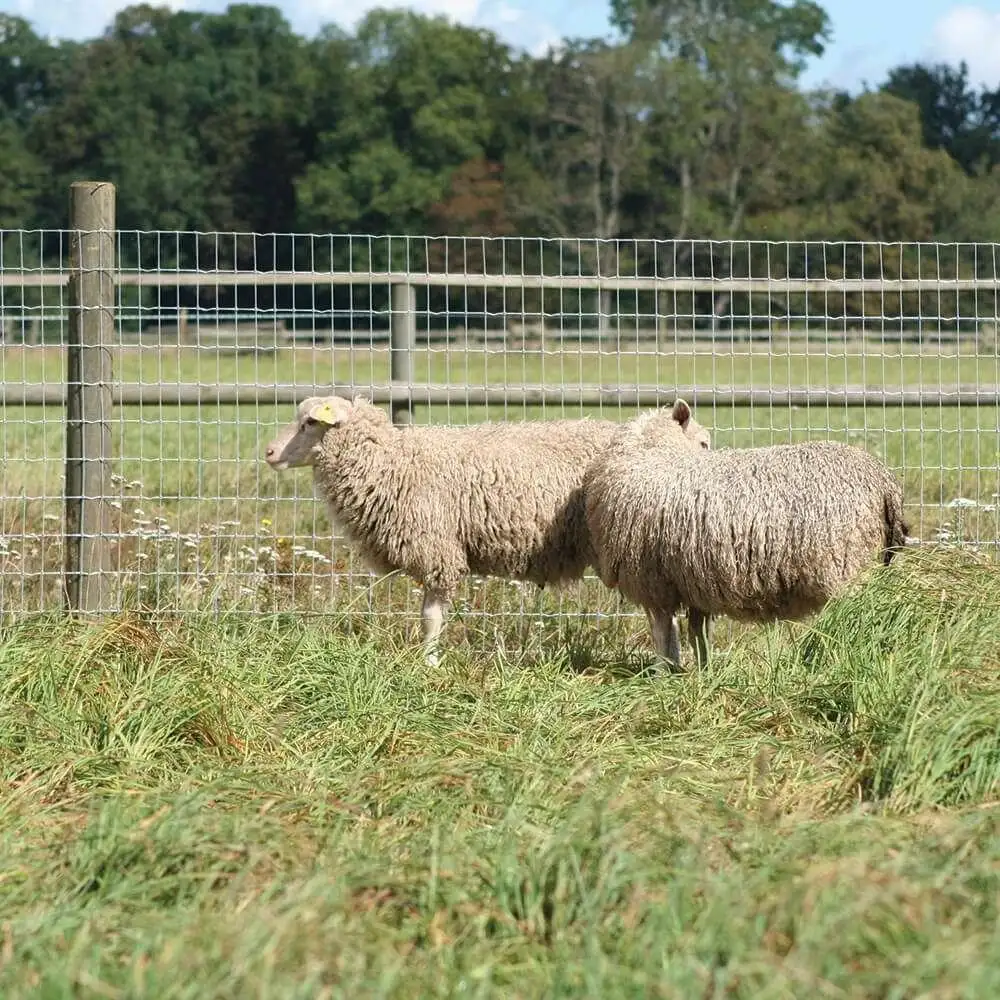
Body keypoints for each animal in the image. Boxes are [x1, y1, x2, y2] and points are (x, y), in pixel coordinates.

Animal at [266, 392, 712, 664]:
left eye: (310, 423)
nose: (269, 452)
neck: (394, 463)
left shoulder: (439, 549)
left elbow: (430, 616)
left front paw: (428, 662)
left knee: (661, 612)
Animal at [584, 394, 912, 668]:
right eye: (704, 443)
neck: (655, 454)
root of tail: (884, 481)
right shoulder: (692, 583)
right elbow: (697, 634)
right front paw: (702, 674)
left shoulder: (653, 581)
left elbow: (664, 634)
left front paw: (663, 673)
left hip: (848, 565)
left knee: (859, 616)